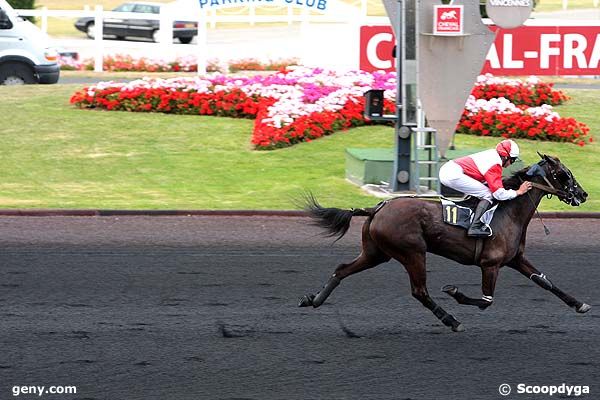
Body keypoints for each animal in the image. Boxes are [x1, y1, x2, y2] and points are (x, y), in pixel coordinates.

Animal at [300, 153, 592, 332]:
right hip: (412, 252)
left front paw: (580, 304)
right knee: (420, 291)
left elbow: (545, 281)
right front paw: (454, 292)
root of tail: (377, 208)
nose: (584, 194)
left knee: (342, 269)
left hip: (376, 253)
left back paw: (313, 299)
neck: (508, 212)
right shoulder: (491, 264)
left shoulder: (515, 259)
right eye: (564, 174)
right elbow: (486, 300)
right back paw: (452, 321)